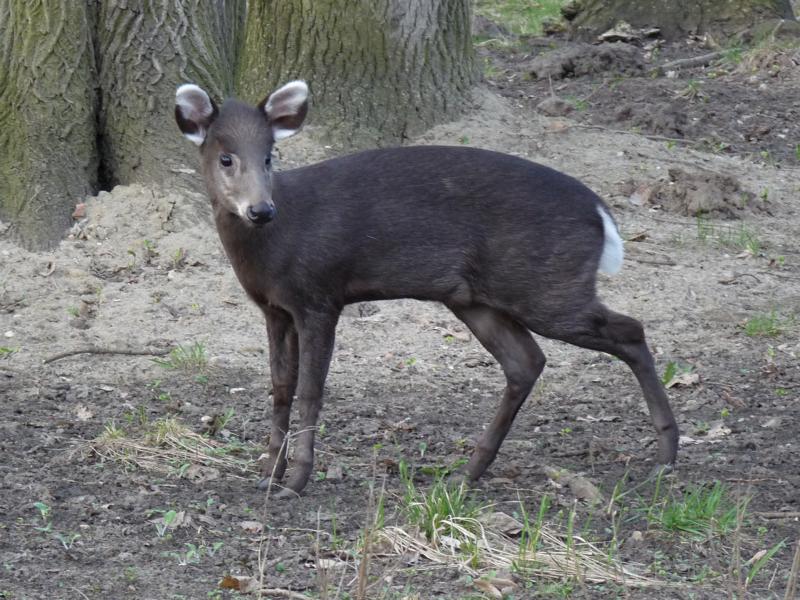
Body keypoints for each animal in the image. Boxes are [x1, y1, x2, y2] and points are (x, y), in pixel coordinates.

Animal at [175, 80, 679, 498]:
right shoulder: (274, 308)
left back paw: (666, 453)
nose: (260, 209)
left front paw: (295, 482)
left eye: (269, 157)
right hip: (476, 299)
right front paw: (267, 473)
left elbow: (311, 390)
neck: (275, 246)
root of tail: (601, 212)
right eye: (225, 157)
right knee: (526, 361)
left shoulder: (319, 295)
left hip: (548, 287)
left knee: (629, 330)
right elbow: (280, 386)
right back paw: (467, 472)